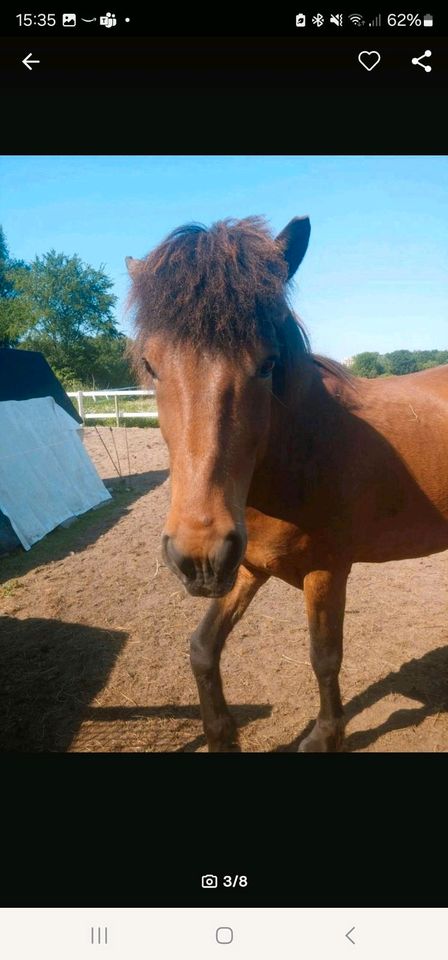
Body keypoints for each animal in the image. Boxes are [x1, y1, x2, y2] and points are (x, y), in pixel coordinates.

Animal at [125, 218, 448, 752]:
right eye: (151, 366)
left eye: (267, 363)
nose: (196, 554)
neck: (297, 460)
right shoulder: (245, 566)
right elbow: (202, 646)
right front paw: (221, 735)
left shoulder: (327, 570)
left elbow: (325, 657)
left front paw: (326, 736)